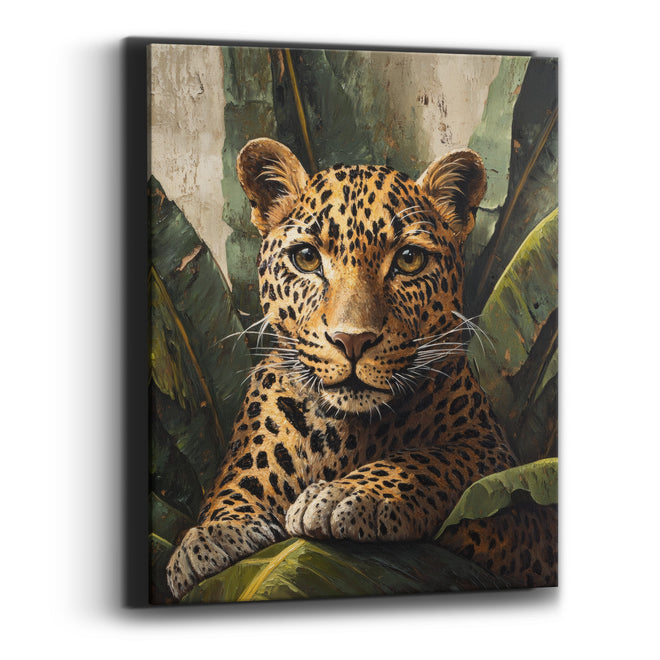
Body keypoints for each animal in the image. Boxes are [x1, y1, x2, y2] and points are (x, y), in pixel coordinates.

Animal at [165, 137, 558, 600]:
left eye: (409, 259)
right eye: (306, 257)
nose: (352, 340)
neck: (343, 433)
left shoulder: (501, 477)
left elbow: (431, 459)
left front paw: (345, 495)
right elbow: (242, 478)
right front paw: (212, 535)